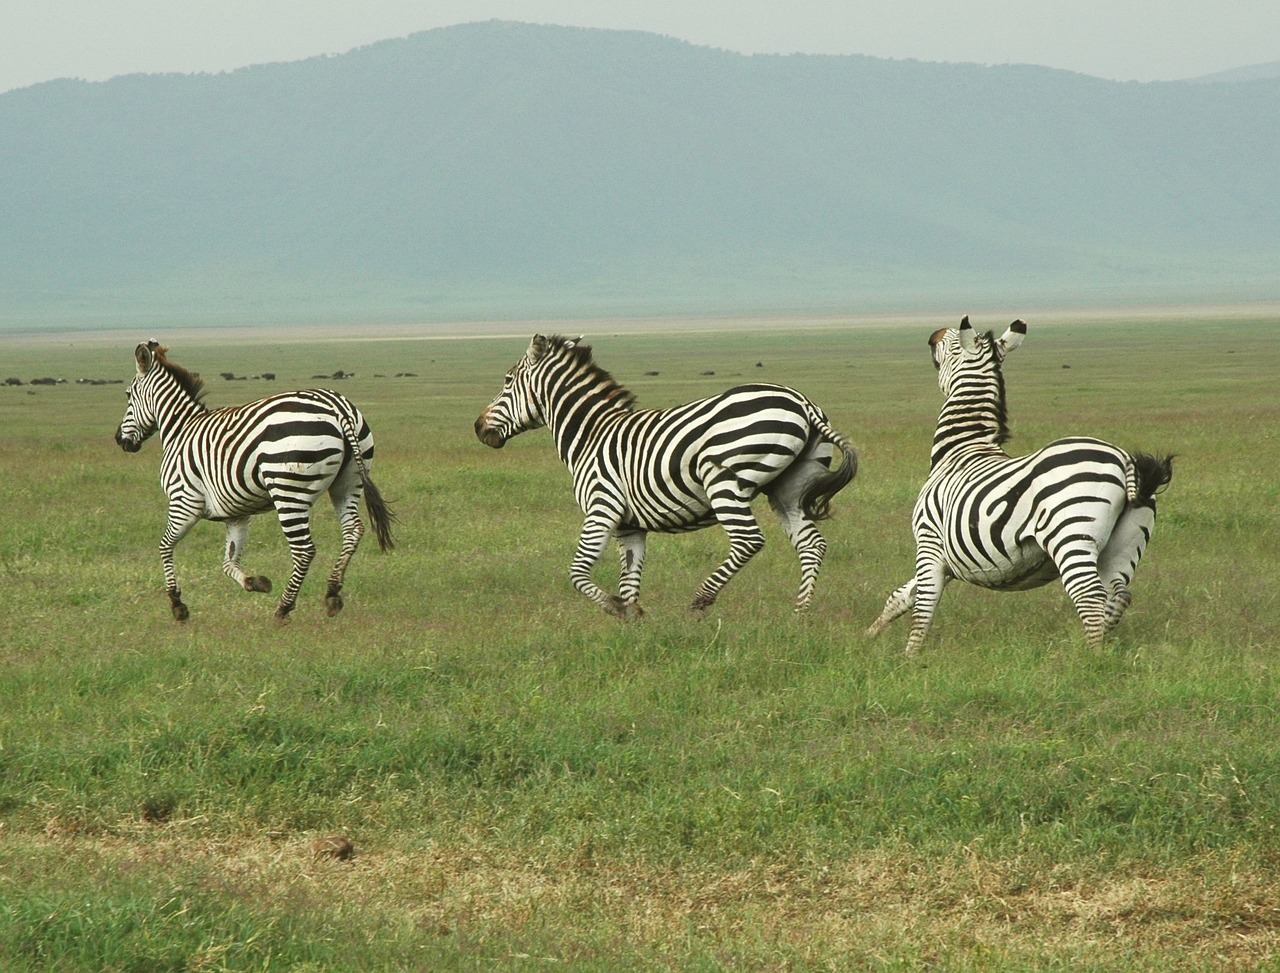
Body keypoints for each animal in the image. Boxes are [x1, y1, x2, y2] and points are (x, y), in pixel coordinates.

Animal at [115, 343, 394, 622]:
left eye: (128, 395)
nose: (119, 439)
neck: (180, 429)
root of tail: (336, 406)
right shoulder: (236, 514)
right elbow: (228, 562)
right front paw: (256, 582)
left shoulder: (184, 501)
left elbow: (165, 546)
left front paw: (177, 603)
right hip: (348, 483)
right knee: (352, 530)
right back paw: (332, 592)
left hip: (288, 492)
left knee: (304, 549)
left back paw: (284, 608)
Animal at [476, 335, 855, 614]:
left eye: (507, 381)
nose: (479, 428)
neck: (591, 434)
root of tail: (801, 401)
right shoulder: (628, 526)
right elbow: (629, 580)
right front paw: (631, 626)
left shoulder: (602, 507)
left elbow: (577, 572)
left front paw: (614, 608)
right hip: (789, 488)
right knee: (812, 544)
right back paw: (800, 612)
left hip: (724, 480)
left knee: (749, 540)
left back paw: (702, 599)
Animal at [865, 318, 1172, 652]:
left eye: (953, 344)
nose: (933, 335)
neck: (961, 448)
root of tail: (1124, 459)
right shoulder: (948, 558)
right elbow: (900, 597)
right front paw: (867, 637)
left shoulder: (929, 541)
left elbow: (923, 606)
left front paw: (910, 656)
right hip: (1124, 545)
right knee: (1119, 594)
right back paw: (1095, 646)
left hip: (1071, 534)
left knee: (1090, 596)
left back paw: (1092, 656)